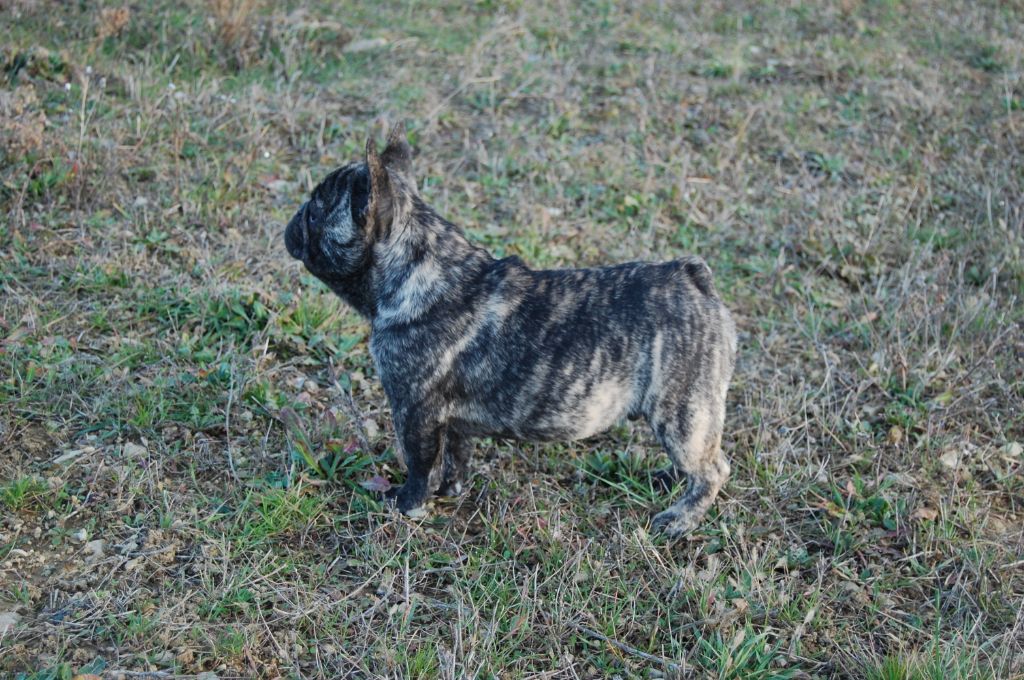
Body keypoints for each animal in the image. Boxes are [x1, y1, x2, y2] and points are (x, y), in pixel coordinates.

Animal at [284, 124, 737, 537]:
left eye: (315, 212)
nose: (293, 220)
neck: (420, 268)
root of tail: (692, 277)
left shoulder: (413, 412)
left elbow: (420, 464)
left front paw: (407, 504)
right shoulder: (451, 421)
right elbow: (455, 456)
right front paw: (449, 490)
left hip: (681, 412)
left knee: (712, 469)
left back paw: (679, 519)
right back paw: (669, 479)